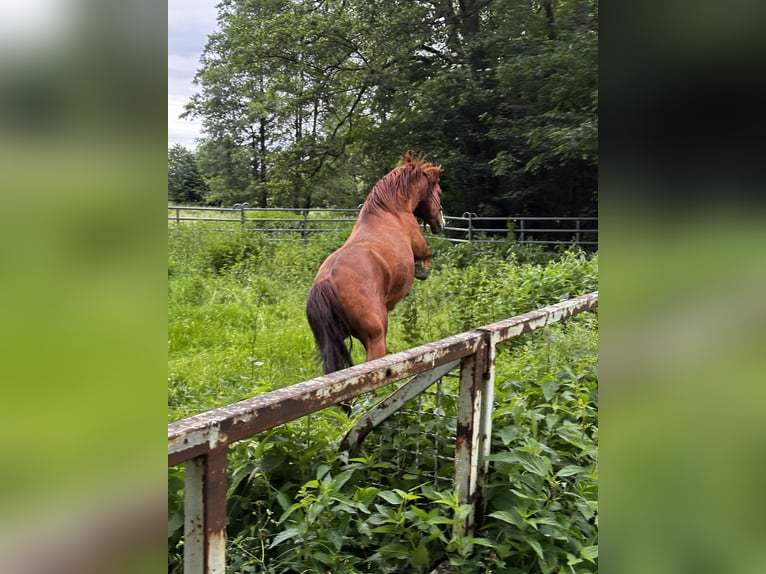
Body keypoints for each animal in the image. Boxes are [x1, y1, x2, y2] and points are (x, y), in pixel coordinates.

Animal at [308, 153, 448, 378]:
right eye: (439, 192)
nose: (441, 223)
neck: (391, 210)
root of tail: (327, 282)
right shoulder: (420, 248)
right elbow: (427, 257)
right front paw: (421, 272)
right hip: (375, 339)